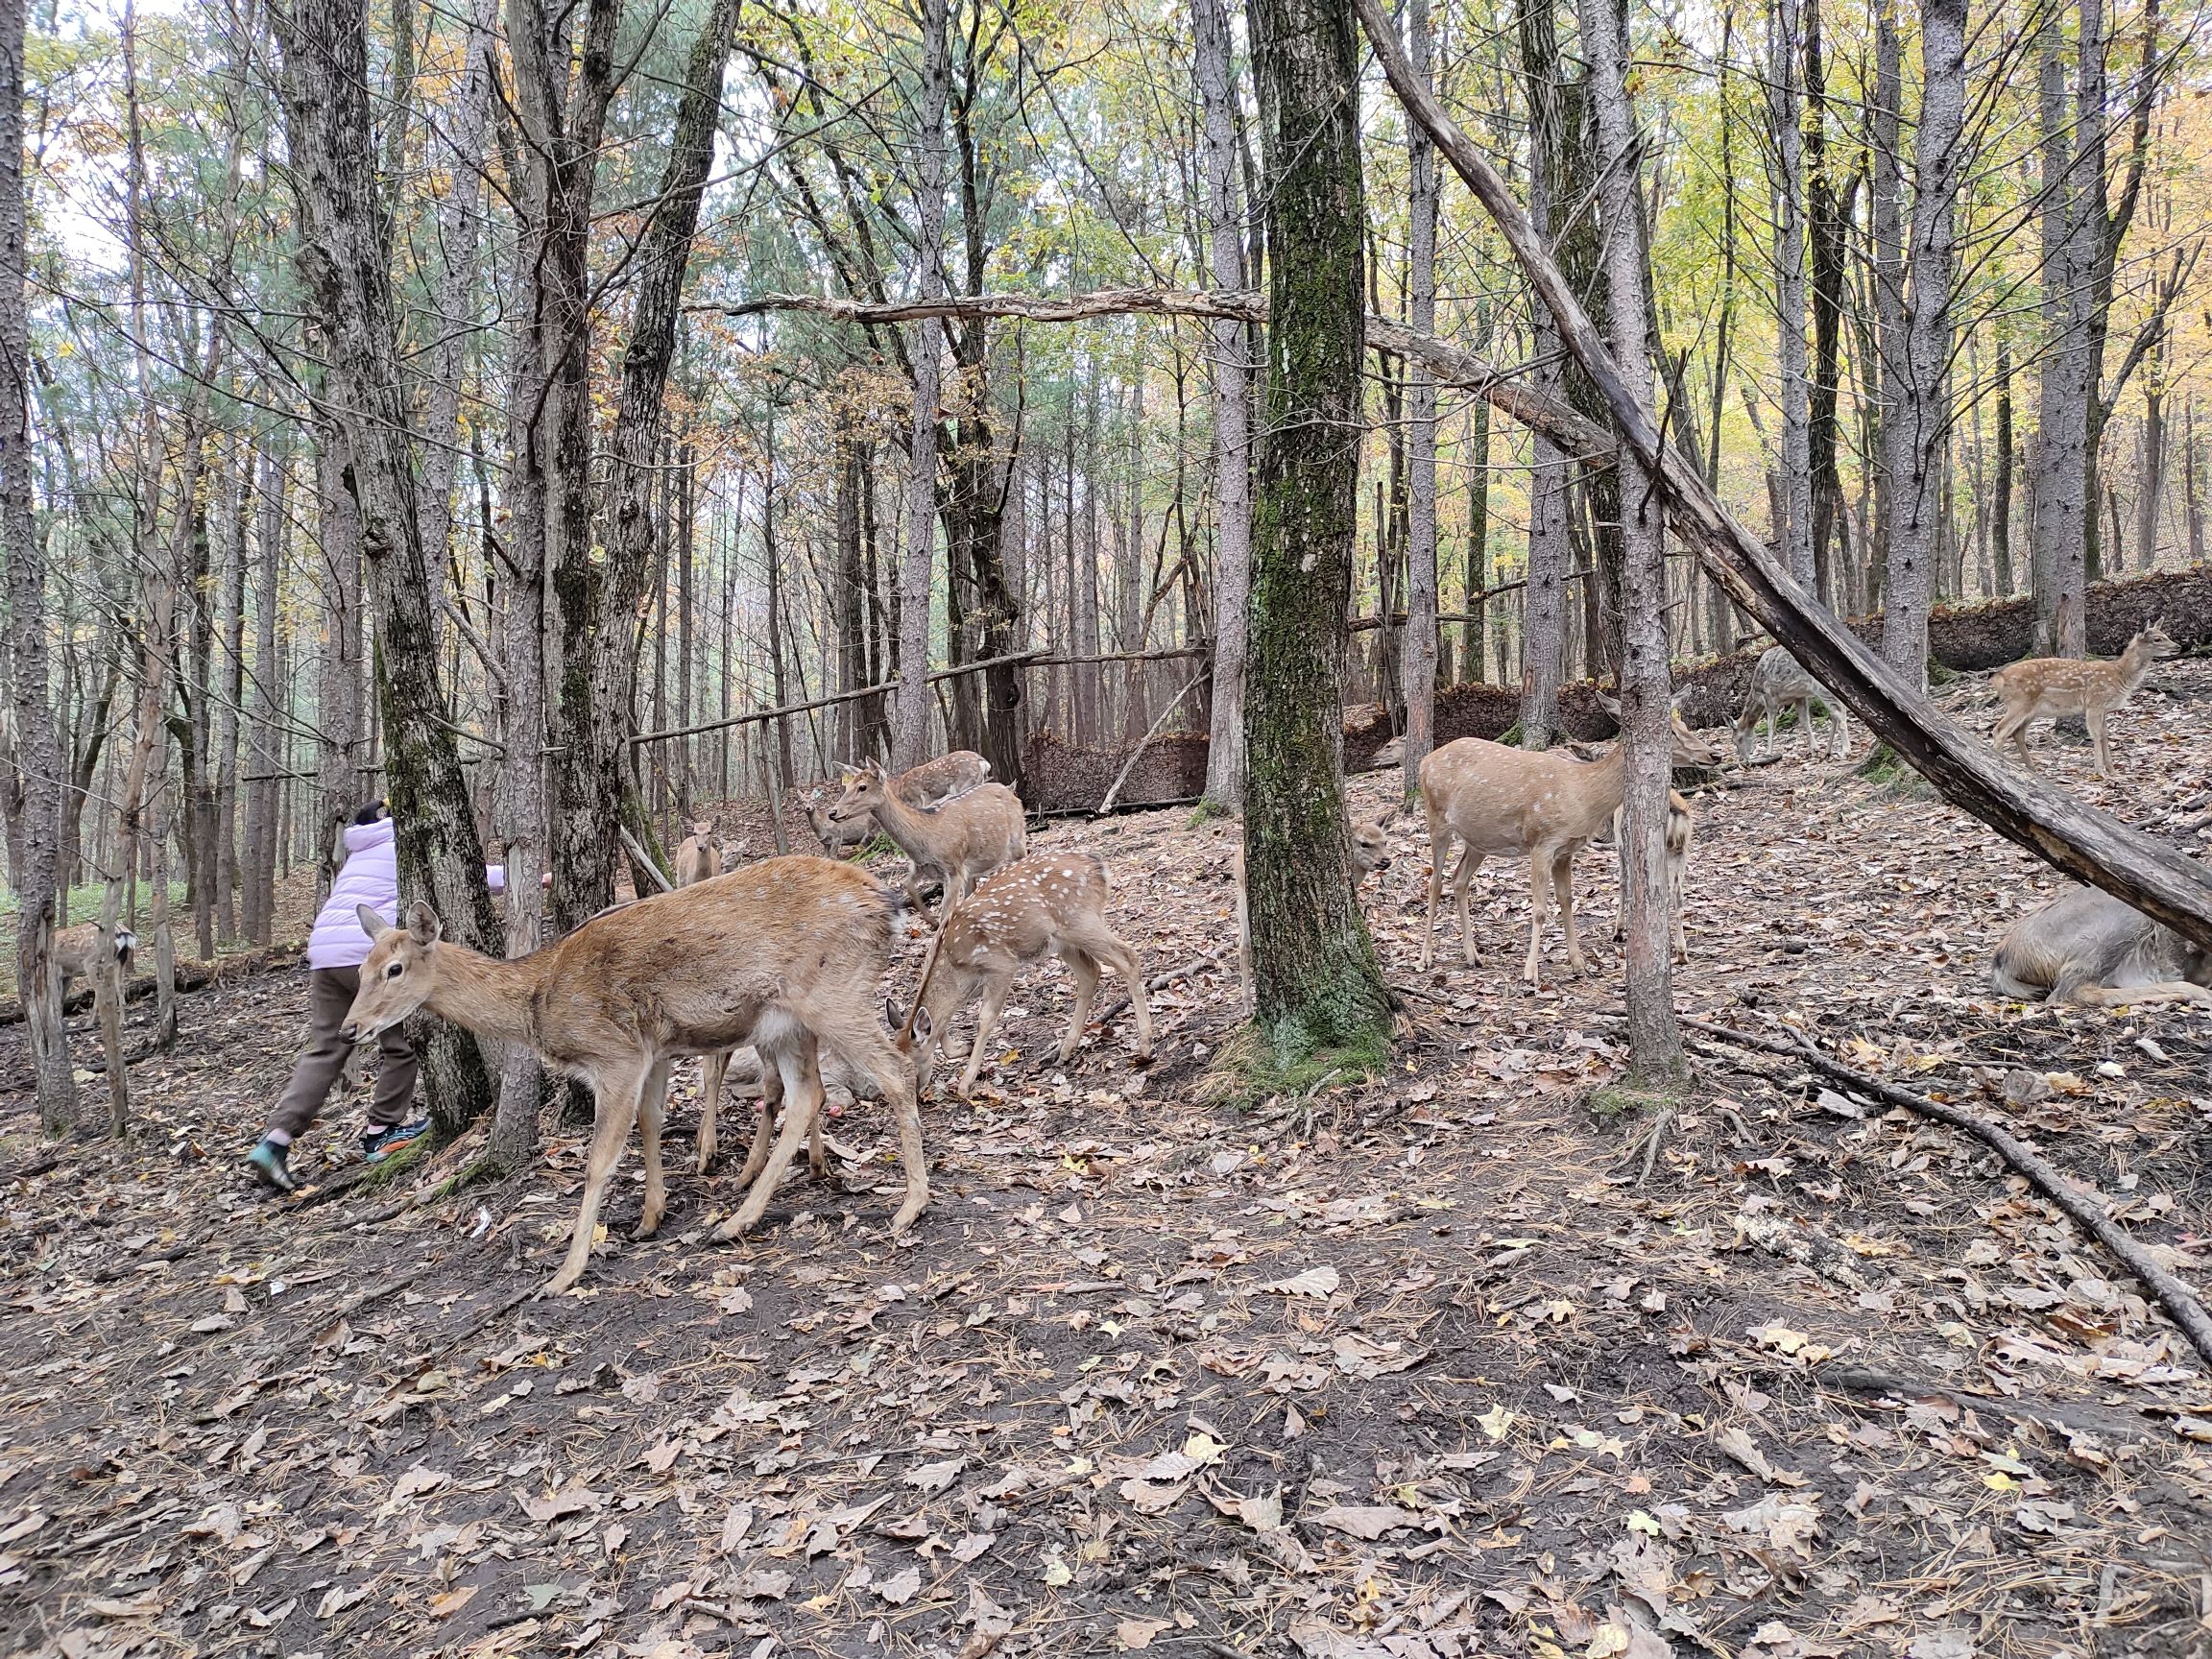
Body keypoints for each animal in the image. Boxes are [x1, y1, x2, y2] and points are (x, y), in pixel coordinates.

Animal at [338, 856, 928, 1298]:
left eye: (394, 969)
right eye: (359, 969)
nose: (350, 1028)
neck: (538, 1002)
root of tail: (888, 906)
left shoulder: (614, 1052)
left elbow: (600, 1159)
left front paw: (565, 1273)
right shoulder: (654, 1049)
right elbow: (650, 1122)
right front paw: (649, 1218)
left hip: (833, 991)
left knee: (894, 1071)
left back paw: (909, 1206)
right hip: (785, 1021)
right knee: (807, 1092)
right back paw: (738, 1218)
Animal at [826, 757, 1026, 910]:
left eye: (862, 787)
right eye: (847, 786)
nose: (832, 812)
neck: (926, 839)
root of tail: (1010, 791)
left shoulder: (954, 867)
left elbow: (946, 912)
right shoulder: (922, 867)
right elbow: (908, 886)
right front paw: (930, 920)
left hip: (1017, 840)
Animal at [902, 851, 1154, 1096]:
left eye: (909, 1067)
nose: (917, 1096)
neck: (956, 969)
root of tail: (1099, 867)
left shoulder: (1001, 964)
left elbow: (985, 1018)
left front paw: (965, 1083)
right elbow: (941, 1025)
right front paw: (962, 1049)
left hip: (1081, 920)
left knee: (1128, 957)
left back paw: (1145, 1046)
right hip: (1063, 940)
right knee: (1090, 972)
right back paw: (1065, 1051)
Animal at [1419, 695, 1723, 985]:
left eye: (1684, 725)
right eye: (1667, 731)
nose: (1714, 754)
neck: (1583, 795)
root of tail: (1425, 762)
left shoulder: (1566, 850)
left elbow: (1567, 900)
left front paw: (1579, 964)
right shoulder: (1541, 841)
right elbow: (1540, 910)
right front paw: (1531, 972)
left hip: (1479, 839)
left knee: (1459, 880)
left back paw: (1473, 955)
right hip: (1436, 818)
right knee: (1435, 882)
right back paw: (1426, 956)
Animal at [1990, 620, 2179, 779]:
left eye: (2165, 634)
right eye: (2157, 639)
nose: (2178, 646)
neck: (2121, 675)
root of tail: (1999, 679)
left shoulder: (2104, 708)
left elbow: (2105, 735)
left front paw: (2112, 770)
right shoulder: (2095, 701)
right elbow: (2095, 734)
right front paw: (2101, 772)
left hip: (2032, 709)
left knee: (2017, 733)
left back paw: (2033, 769)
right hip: (2020, 702)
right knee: (1999, 730)